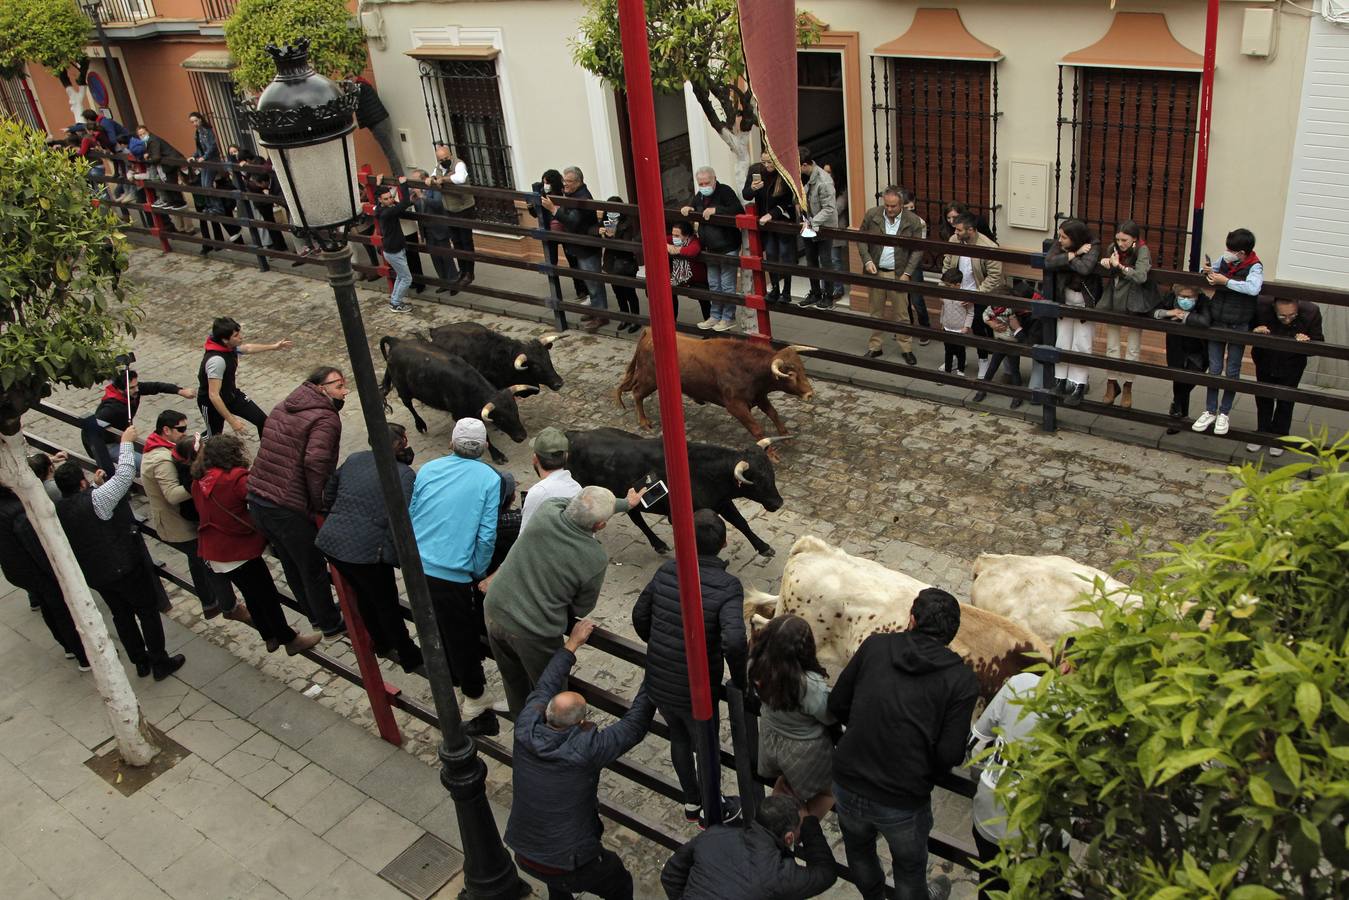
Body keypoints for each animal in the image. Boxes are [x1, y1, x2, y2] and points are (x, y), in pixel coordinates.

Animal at [566, 429, 782, 555]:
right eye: (757, 481)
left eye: (771, 473)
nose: (778, 503)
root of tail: (575, 435)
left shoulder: (722, 501)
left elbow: (741, 522)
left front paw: (764, 547)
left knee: (636, 517)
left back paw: (658, 544)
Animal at [617, 327, 814, 447]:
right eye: (791, 374)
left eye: (802, 368)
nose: (810, 393)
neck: (745, 366)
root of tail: (648, 332)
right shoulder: (735, 406)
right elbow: (757, 429)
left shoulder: (759, 396)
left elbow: (773, 413)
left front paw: (785, 436)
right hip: (650, 379)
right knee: (637, 393)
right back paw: (644, 422)